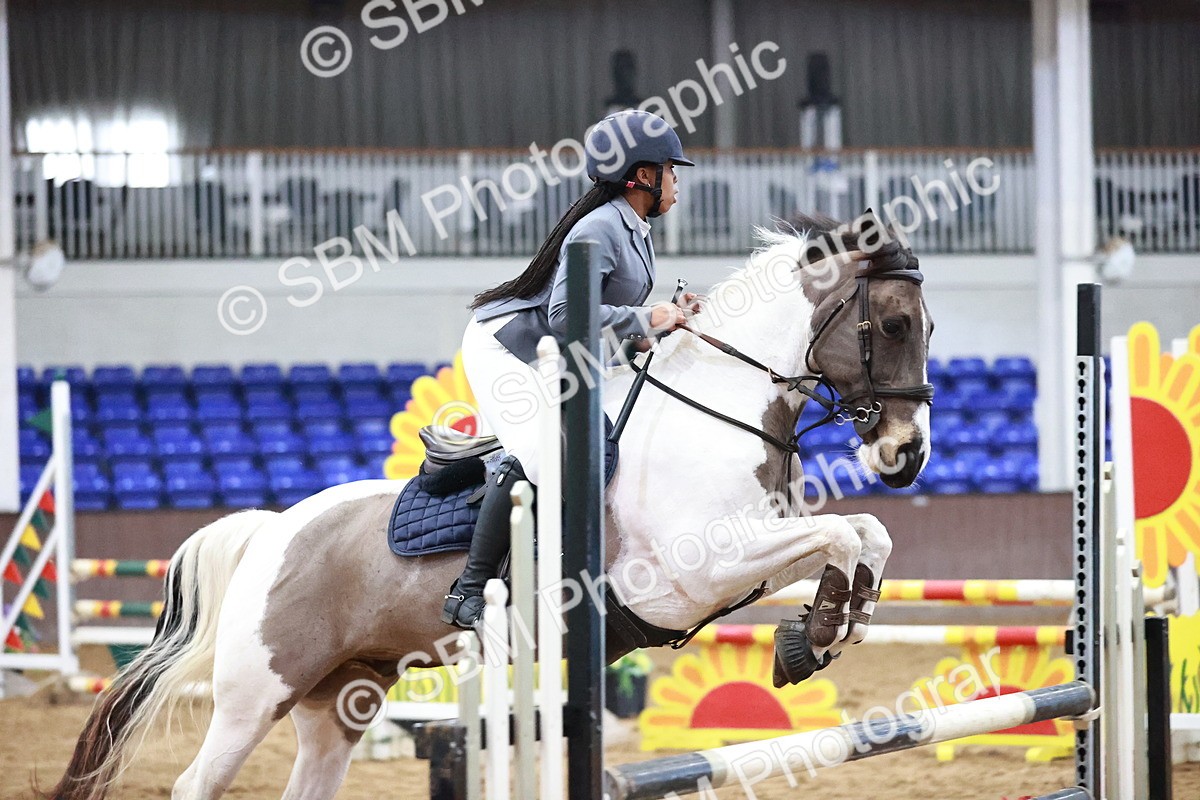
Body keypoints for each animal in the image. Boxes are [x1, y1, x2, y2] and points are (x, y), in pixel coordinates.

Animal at [45, 215, 933, 800]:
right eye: (892, 323)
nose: (908, 454)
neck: (714, 410)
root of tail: (274, 530)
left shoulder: (748, 558)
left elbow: (862, 534)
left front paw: (823, 629)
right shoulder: (696, 573)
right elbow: (842, 531)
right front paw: (819, 632)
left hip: (340, 700)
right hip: (252, 694)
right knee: (196, 781)